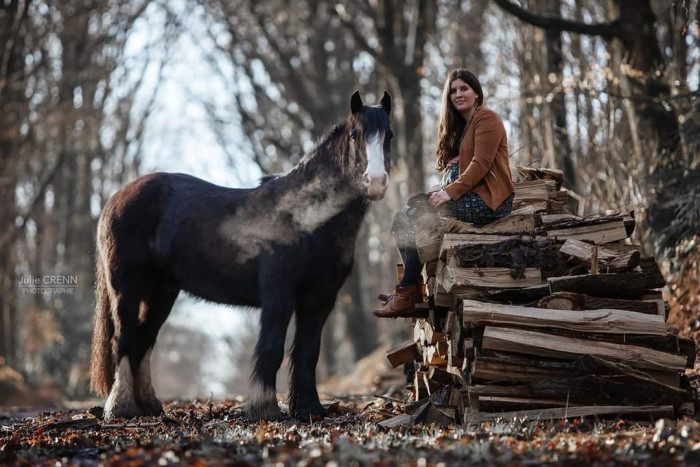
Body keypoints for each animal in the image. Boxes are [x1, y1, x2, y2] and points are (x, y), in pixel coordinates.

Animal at [89, 90, 392, 420]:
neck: (306, 216)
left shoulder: (320, 298)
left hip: (162, 293)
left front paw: (309, 408)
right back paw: (122, 408)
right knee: (124, 339)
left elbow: (307, 351)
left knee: (144, 340)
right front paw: (265, 407)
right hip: (127, 289)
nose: (376, 182)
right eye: (355, 134)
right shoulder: (279, 293)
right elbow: (271, 347)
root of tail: (116, 198)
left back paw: (149, 406)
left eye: (388, 136)